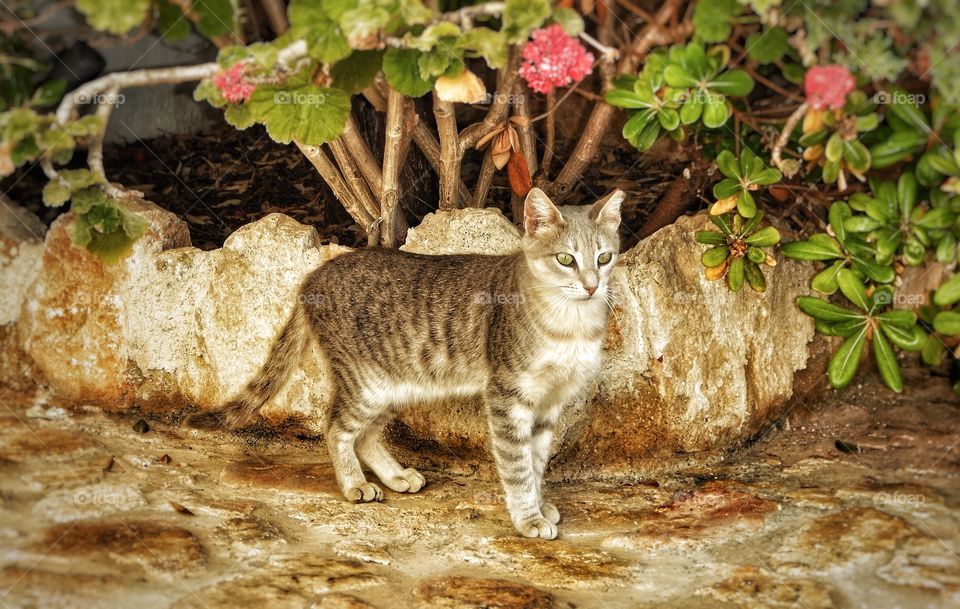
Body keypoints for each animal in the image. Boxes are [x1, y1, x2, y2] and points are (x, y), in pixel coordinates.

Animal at [187, 186, 624, 536]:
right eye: (566, 259)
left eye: (604, 257)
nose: (592, 286)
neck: (571, 326)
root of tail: (315, 274)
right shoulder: (507, 397)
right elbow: (517, 466)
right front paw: (528, 517)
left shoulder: (550, 404)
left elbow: (536, 462)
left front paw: (540, 503)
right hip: (365, 384)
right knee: (335, 428)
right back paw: (353, 484)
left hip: (394, 385)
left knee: (365, 436)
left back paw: (395, 475)